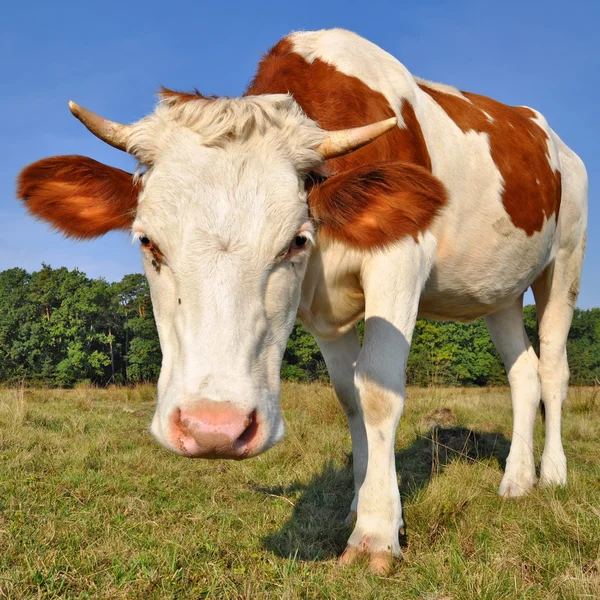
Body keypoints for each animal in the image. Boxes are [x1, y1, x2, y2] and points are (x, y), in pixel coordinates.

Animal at [17, 30, 584, 576]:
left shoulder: (401, 259)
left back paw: (553, 474)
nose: (213, 429)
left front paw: (376, 533)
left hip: (565, 263)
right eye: (147, 242)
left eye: (294, 240)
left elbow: (379, 392)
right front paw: (363, 505)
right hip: (499, 291)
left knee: (553, 367)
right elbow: (351, 398)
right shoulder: (323, 316)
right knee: (522, 372)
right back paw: (516, 480)